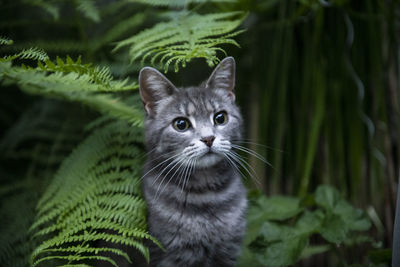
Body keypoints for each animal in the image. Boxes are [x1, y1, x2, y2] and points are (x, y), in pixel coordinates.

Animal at [140, 57, 247, 267]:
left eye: (220, 118)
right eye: (181, 124)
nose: (208, 138)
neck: (205, 193)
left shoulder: (228, 251)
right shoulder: (170, 255)